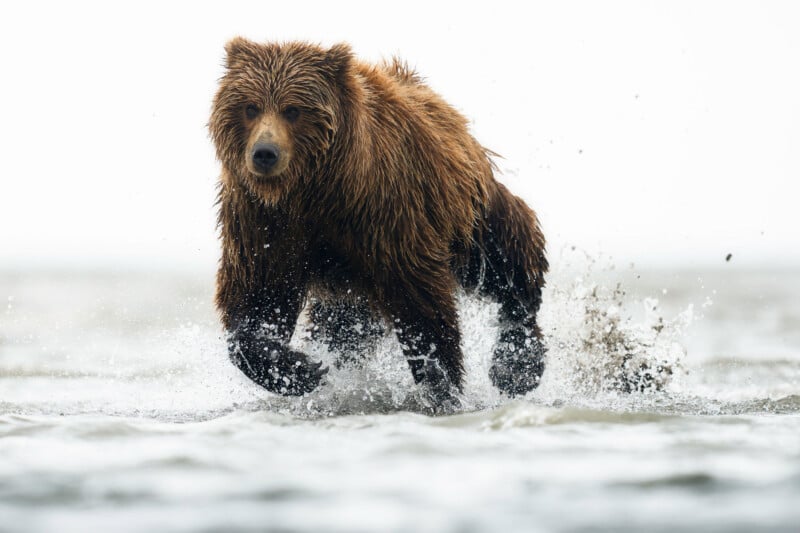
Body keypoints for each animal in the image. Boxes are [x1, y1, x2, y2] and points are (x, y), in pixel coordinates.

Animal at [209, 38, 548, 410]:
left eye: (293, 109)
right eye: (250, 106)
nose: (265, 153)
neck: (312, 192)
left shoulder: (385, 215)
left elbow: (423, 305)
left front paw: (441, 384)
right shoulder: (265, 223)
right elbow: (258, 296)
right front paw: (301, 370)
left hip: (468, 212)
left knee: (508, 259)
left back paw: (517, 365)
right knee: (342, 329)